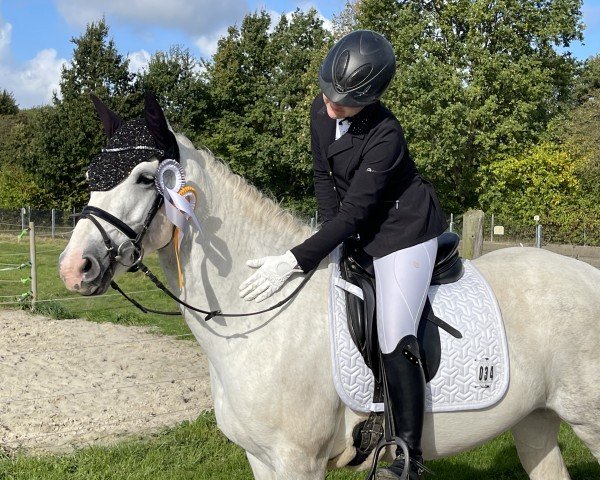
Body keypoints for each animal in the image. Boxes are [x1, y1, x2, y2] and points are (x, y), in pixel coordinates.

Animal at [59, 95, 600, 478]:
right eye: (90, 175)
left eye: (144, 177)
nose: (73, 269)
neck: (261, 324)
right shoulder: (262, 459)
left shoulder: (298, 460)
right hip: (535, 420)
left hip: (589, 421)